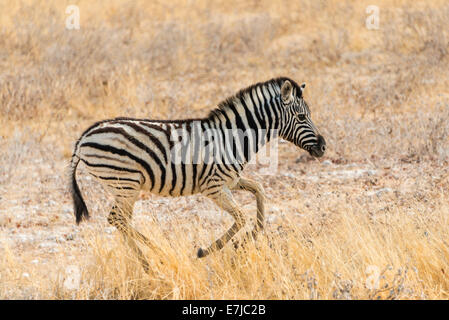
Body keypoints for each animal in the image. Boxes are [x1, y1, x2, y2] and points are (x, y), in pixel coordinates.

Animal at [70, 77, 326, 270]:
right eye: (302, 117)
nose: (323, 147)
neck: (232, 139)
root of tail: (84, 137)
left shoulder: (230, 181)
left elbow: (260, 192)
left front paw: (250, 238)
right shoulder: (214, 187)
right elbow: (241, 217)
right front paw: (209, 250)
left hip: (124, 186)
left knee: (119, 220)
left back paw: (148, 264)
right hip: (125, 183)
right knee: (117, 218)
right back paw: (158, 255)